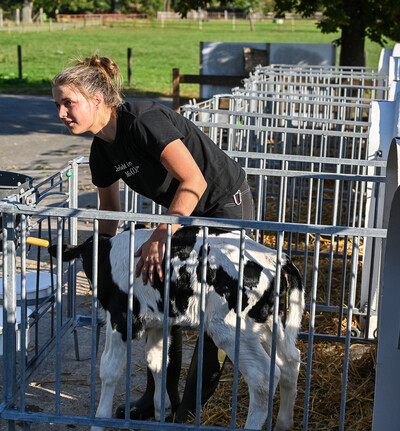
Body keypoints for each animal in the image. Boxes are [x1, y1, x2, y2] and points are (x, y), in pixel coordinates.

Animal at [50, 226, 306, 431]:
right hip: (266, 325)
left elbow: (109, 369)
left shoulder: (121, 319)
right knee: (289, 362)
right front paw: (160, 410)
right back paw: (284, 424)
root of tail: (275, 257)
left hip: (231, 328)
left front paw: (99, 422)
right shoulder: (156, 321)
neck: (106, 255)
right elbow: (157, 361)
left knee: (263, 376)